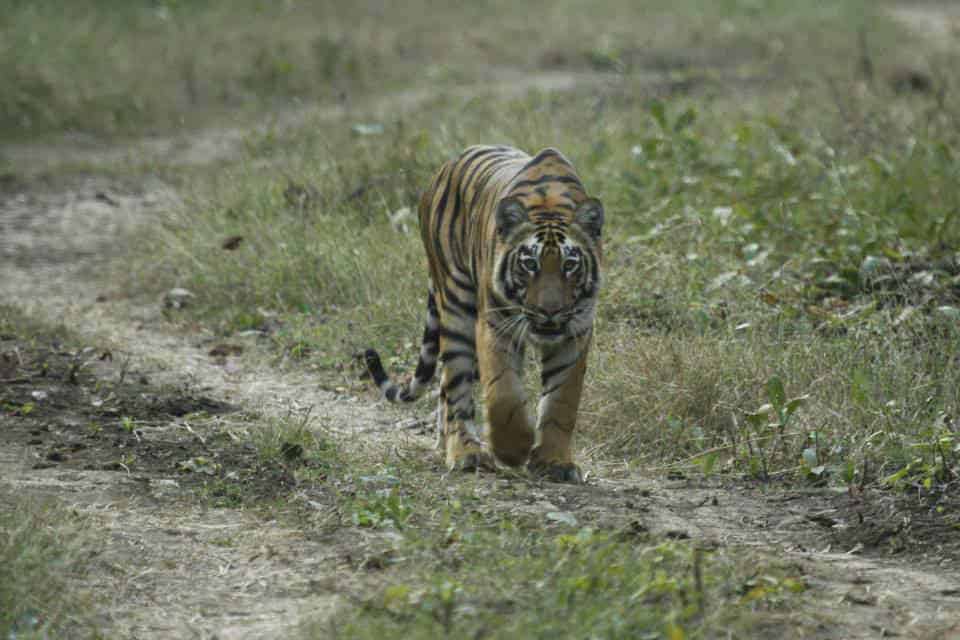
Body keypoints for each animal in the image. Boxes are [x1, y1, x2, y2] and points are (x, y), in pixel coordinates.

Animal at [364, 145, 604, 482]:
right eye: (529, 264)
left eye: (570, 265)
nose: (549, 311)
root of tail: (444, 169)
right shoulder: (495, 325)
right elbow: (504, 394)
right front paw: (513, 449)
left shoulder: (574, 335)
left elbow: (562, 402)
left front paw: (554, 462)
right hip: (456, 308)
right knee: (456, 385)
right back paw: (466, 453)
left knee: (444, 387)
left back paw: (445, 443)